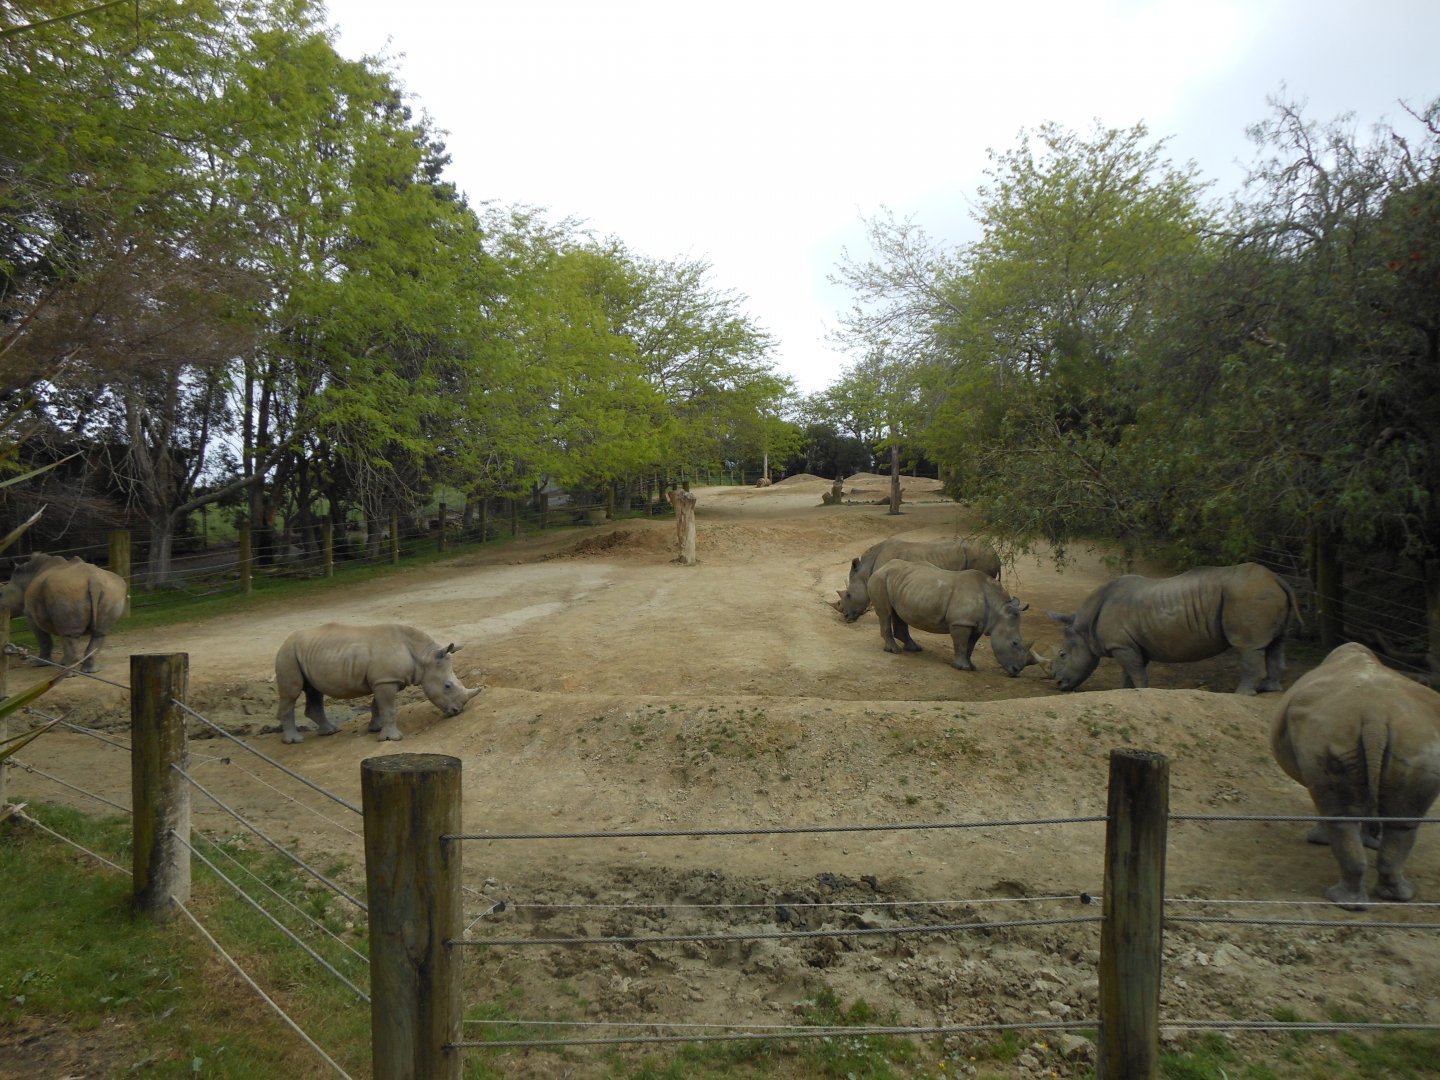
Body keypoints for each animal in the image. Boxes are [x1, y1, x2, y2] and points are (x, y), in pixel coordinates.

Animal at [274, 623, 482, 744]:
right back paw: (294, 740)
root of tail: (285, 641)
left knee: (314, 690)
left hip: (307, 653)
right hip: (287, 654)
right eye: (447, 686)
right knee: (291, 694)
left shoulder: (383, 680)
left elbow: (378, 706)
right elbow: (388, 708)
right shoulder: (385, 680)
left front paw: (375, 729)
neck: (423, 657)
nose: (457, 711)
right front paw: (392, 738)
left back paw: (330, 732)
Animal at [835, 536, 1001, 622]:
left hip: (981, 557)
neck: (866, 571)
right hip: (982, 556)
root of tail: (996, 555)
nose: (845, 616)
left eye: (848, 594)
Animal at [869, 561, 1034, 675]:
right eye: (1014, 643)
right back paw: (894, 651)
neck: (998, 608)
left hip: (903, 583)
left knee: (899, 614)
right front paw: (962, 667)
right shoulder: (961, 623)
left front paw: (971, 666)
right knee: (886, 613)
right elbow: (961, 644)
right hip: (881, 579)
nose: (1016, 671)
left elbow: (970, 646)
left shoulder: (976, 625)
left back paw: (914, 648)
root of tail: (882, 566)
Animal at [1045, 563, 1299, 694]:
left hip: (1247, 595)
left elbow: (1136, 673)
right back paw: (1270, 690)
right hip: (1261, 594)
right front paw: (1126, 693)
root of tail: (1276, 579)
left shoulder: (1122, 645)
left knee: (1248, 646)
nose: (1058, 683)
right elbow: (1129, 673)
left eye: (1063, 655)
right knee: (1277, 643)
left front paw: (1142, 692)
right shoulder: (1130, 644)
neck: (1084, 626)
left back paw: (1241, 695)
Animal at [1271, 642, 1440, 909]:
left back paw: (1342, 900)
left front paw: (1319, 840)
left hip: (1328, 731)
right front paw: (1372, 841)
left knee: (1341, 817)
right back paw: (1398, 895)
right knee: (1403, 821)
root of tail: (1375, 717)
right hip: (1418, 741)